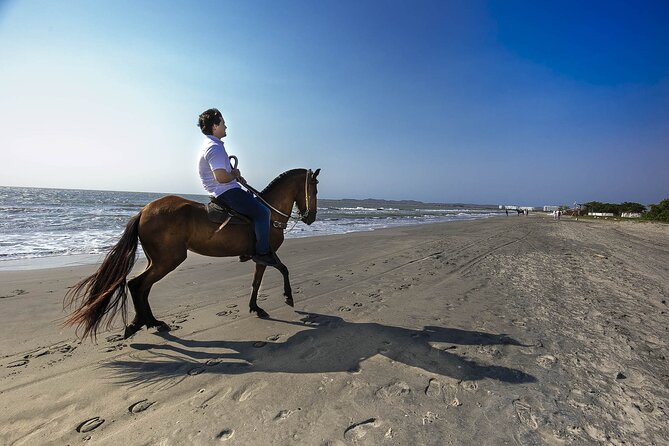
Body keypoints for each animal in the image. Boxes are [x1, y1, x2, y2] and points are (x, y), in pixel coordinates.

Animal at [64, 169, 320, 340]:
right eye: (315, 188)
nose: (311, 217)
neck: (268, 213)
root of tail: (144, 211)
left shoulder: (261, 257)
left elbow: (256, 282)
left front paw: (255, 307)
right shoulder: (267, 254)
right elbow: (284, 269)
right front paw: (288, 296)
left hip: (157, 260)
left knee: (143, 287)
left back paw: (150, 322)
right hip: (168, 260)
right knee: (138, 285)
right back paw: (142, 323)